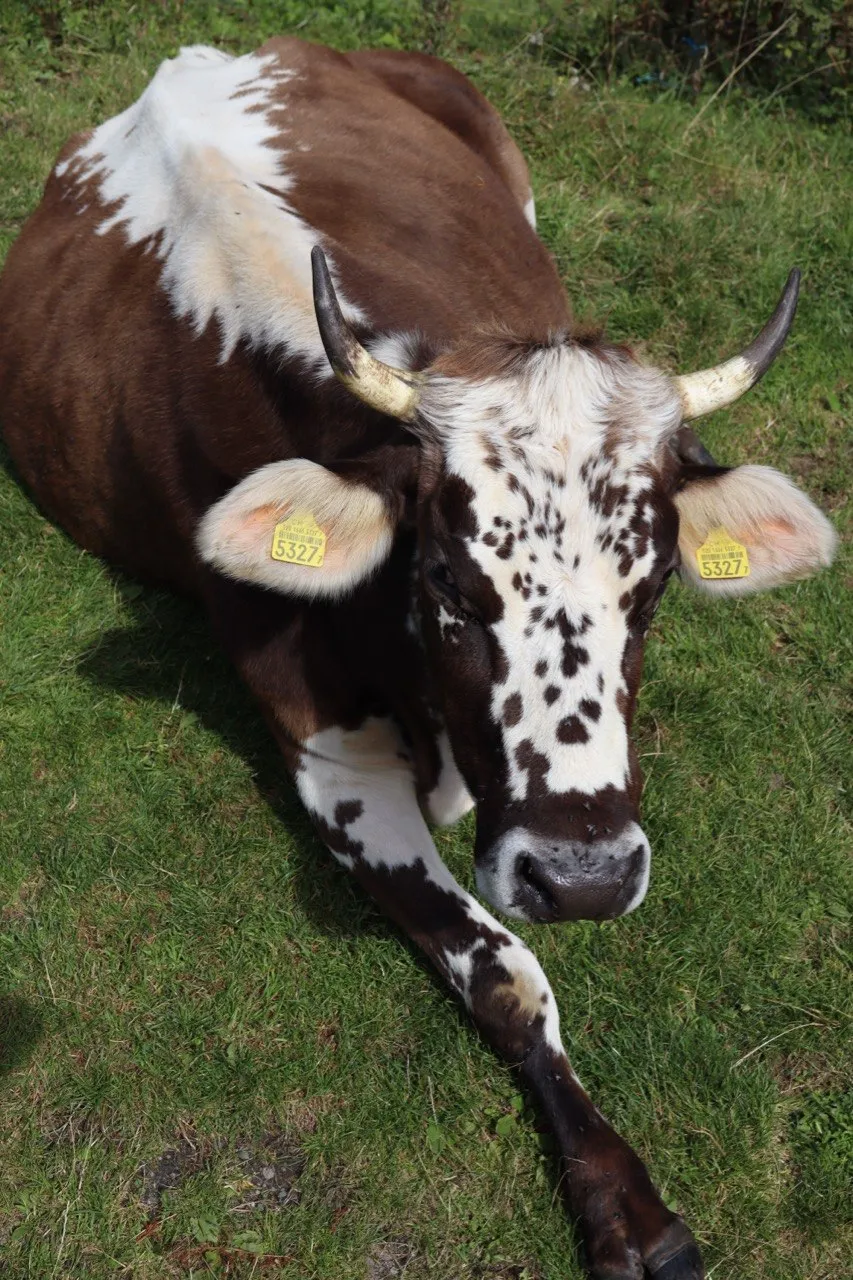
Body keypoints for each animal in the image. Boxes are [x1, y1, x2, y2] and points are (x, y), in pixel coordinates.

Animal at [0, 38, 836, 1280]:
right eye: (445, 578)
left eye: (651, 588)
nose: (581, 877)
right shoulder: (333, 759)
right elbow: (506, 974)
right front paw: (622, 1199)